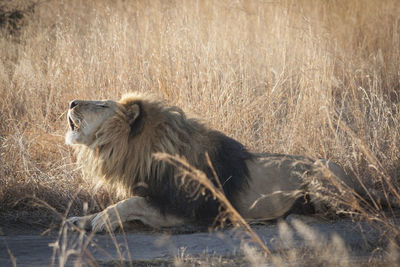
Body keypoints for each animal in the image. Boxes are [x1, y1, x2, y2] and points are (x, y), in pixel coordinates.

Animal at [65, 92, 360, 232]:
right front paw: (81, 220)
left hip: (322, 176)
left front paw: (103, 220)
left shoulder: (188, 210)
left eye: (103, 105)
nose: (71, 102)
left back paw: (293, 216)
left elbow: (131, 202)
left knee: (339, 214)